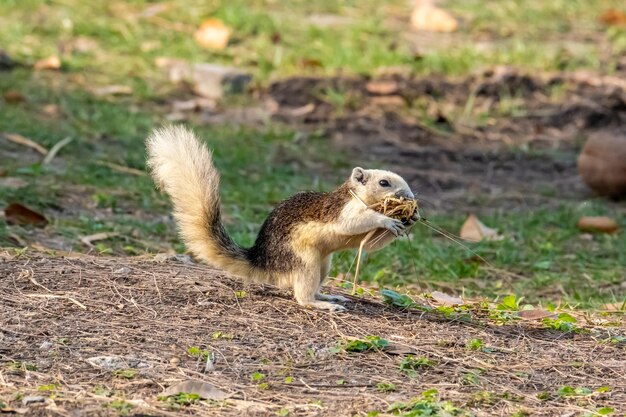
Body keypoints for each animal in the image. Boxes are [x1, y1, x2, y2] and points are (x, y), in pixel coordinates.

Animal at [146, 125, 416, 310]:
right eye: (384, 183)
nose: (410, 197)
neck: (356, 196)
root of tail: (264, 261)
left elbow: (369, 244)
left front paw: (407, 221)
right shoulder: (341, 211)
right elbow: (353, 223)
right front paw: (387, 219)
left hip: (323, 264)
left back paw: (327, 295)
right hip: (304, 262)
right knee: (303, 296)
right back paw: (322, 304)